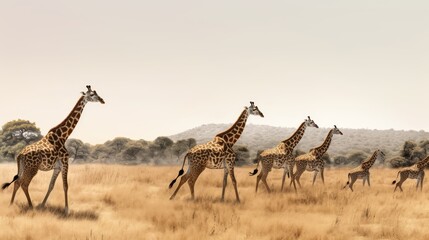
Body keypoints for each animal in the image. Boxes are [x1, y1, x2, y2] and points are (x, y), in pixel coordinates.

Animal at [1, 85, 104, 213]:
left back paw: (11, 204)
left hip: (23, 167)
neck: (63, 136)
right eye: (92, 95)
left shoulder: (57, 167)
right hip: (32, 168)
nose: (102, 100)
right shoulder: (65, 162)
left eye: (96, 93)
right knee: (23, 183)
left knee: (17, 182)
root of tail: (20, 155)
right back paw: (30, 206)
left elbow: (51, 185)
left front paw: (42, 205)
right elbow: (65, 186)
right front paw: (66, 209)